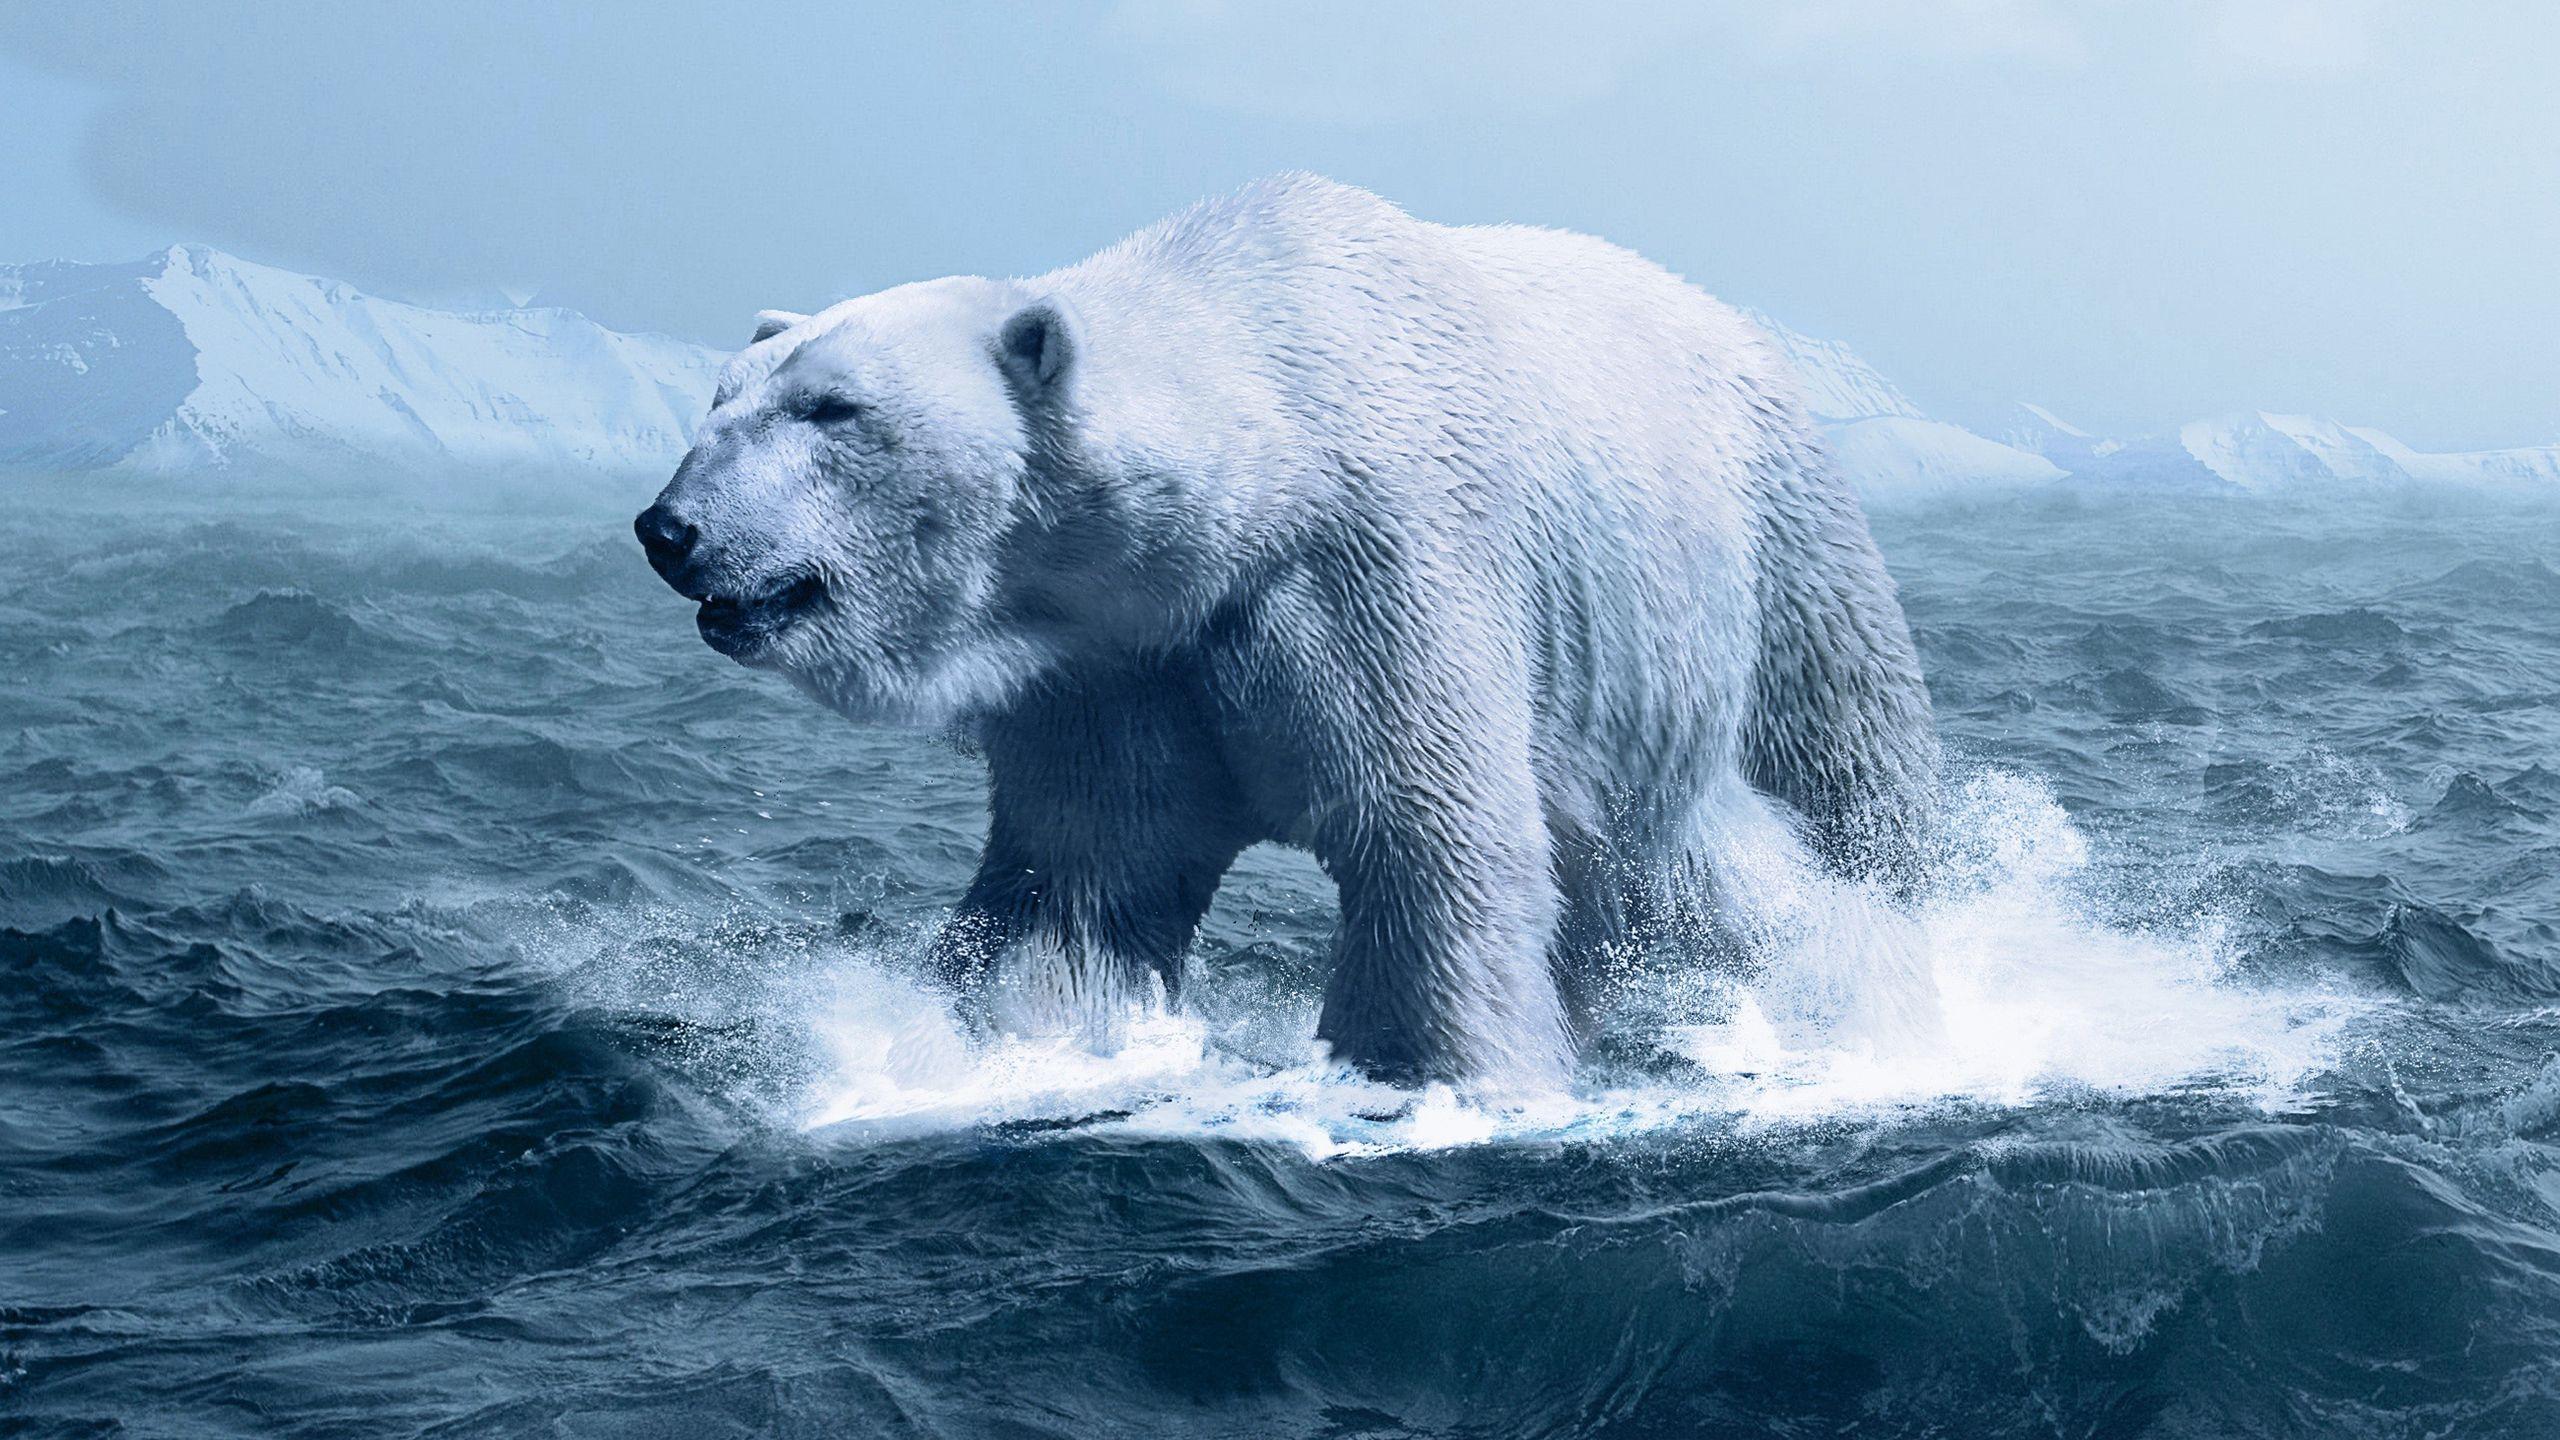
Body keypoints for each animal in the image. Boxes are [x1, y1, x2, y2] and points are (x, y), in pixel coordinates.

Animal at [635, 174, 1937, 1092]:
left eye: (833, 408)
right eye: (721, 399)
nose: (668, 528)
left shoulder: (1376, 569)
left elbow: (1428, 837)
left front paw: (1429, 1076)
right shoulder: (1120, 663)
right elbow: (1081, 879)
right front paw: (998, 1044)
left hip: (1771, 547)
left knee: (1824, 786)